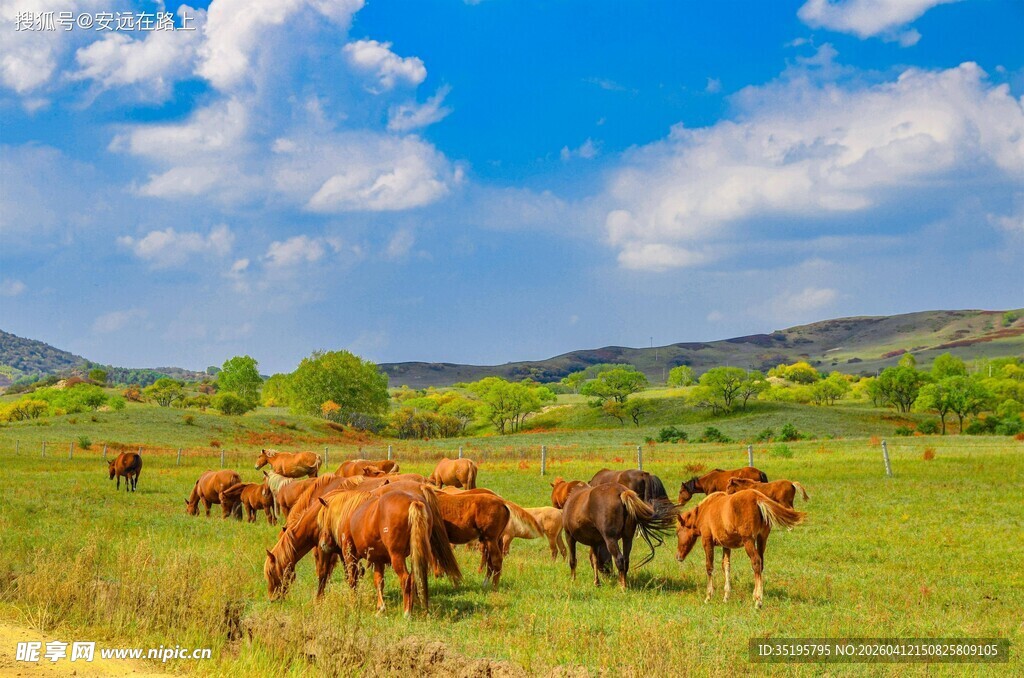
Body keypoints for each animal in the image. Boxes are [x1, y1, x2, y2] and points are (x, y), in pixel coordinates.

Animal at [315, 483, 462, 615]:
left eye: (323, 519)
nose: (322, 544)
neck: (349, 514)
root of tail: (413, 501)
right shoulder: (378, 559)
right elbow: (379, 581)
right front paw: (380, 608)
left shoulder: (350, 556)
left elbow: (353, 581)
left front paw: (354, 603)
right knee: (416, 577)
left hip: (396, 556)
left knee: (406, 578)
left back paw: (407, 612)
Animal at [676, 490, 805, 608]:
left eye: (677, 533)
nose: (678, 557)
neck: (705, 510)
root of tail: (757, 497)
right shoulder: (726, 545)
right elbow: (726, 566)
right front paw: (726, 596)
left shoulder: (707, 541)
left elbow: (709, 567)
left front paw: (708, 596)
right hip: (762, 538)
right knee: (760, 564)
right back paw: (755, 596)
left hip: (749, 541)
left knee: (756, 562)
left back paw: (758, 601)